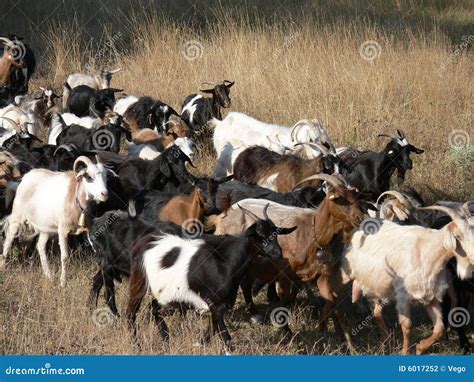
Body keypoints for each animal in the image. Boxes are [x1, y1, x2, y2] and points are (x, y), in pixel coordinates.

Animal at [1, 156, 115, 286]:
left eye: (106, 176)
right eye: (89, 177)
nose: (104, 194)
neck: (75, 197)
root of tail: (23, 180)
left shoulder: (88, 229)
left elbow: (97, 251)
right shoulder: (63, 231)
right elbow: (64, 257)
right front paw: (63, 283)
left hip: (45, 227)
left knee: (40, 246)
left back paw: (49, 275)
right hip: (17, 217)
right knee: (9, 239)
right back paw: (3, 267)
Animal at [338, 204, 472, 354]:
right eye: (458, 236)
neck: (427, 253)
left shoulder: (431, 298)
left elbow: (440, 328)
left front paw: (420, 348)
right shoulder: (403, 297)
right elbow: (407, 326)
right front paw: (405, 352)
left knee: (377, 312)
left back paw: (387, 340)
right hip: (346, 274)